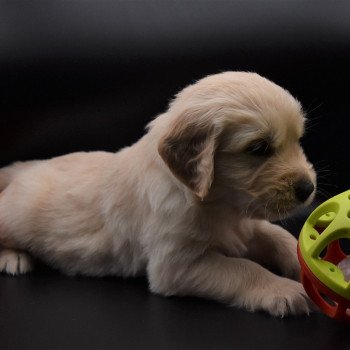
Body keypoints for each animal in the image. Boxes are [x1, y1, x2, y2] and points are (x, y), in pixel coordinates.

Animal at [0, 72, 318, 318]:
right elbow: (244, 268)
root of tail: (27, 167)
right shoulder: (177, 265)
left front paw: (306, 262)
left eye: (297, 140)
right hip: (15, 217)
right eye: (259, 148)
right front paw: (282, 288)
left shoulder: (247, 225)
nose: (308, 188)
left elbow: (279, 236)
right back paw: (13, 258)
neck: (219, 205)